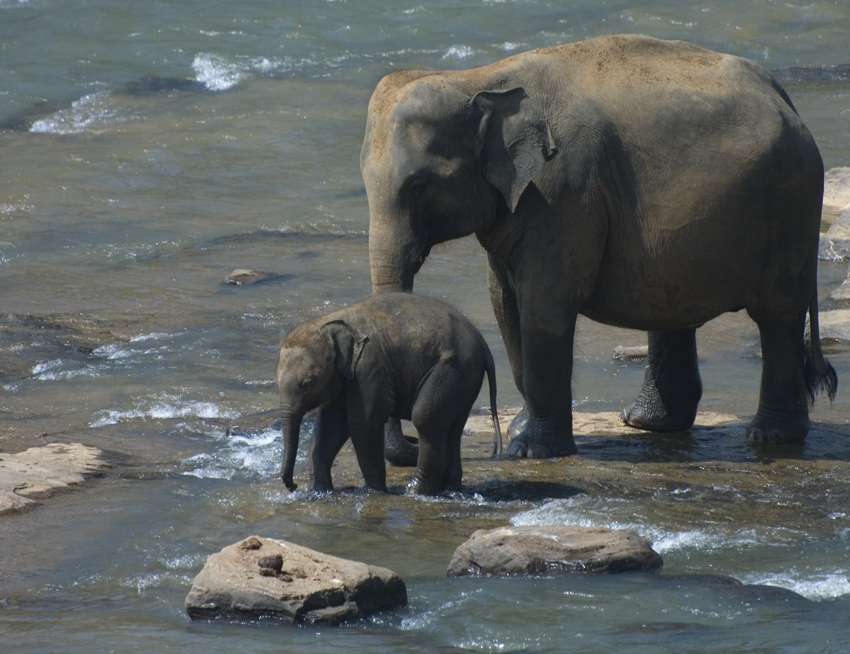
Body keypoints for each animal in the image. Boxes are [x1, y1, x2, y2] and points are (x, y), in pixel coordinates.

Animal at [274, 294, 500, 498]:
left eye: (307, 383)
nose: (293, 486)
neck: (327, 321)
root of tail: (483, 344)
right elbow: (330, 426)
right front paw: (319, 492)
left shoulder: (369, 370)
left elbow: (364, 422)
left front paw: (372, 492)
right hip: (465, 378)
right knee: (453, 427)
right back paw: (449, 489)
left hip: (453, 369)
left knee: (425, 418)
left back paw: (415, 490)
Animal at [360, 33, 836, 458]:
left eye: (420, 186)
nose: (410, 446)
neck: (479, 78)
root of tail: (781, 93)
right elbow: (504, 304)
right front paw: (521, 431)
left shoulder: (563, 192)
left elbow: (544, 305)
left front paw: (529, 450)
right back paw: (646, 423)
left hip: (791, 205)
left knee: (777, 314)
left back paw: (770, 438)